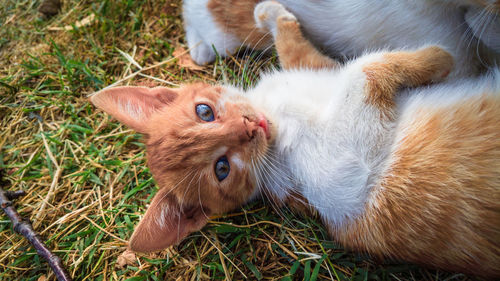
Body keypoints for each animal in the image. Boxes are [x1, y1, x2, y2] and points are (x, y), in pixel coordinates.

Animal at [91, 1, 500, 278]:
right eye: (222, 169)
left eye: (204, 111)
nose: (250, 126)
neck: (277, 117)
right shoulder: (347, 178)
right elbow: (365, 69)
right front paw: (439, 57)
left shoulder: (317, 69)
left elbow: (297, 49)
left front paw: (270, 13)